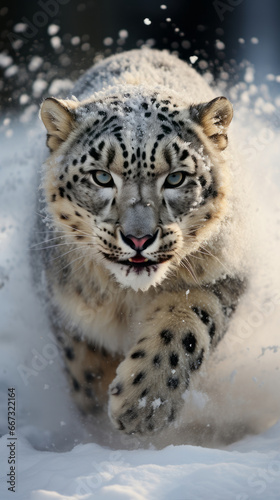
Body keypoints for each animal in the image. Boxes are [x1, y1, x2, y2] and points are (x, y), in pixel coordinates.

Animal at [38, 48, 246, 436]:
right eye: (102, 177)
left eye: (176, 178)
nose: (139, 238)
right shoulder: (66, 308)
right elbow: (85, 372)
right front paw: (102, 426)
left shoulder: (225, 272)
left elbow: (185, 324)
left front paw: (144, 404)